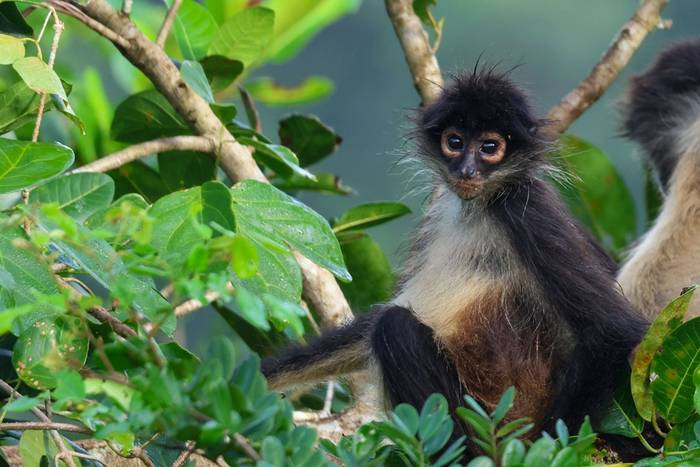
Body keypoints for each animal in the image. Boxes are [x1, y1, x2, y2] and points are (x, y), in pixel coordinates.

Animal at [261, 68, 650, 455]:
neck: (477, 208)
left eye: (490, 148)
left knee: (396, 327)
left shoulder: (526, 210)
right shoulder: (440, 214)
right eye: (455, 142)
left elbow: (614, 330)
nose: (465, 170)